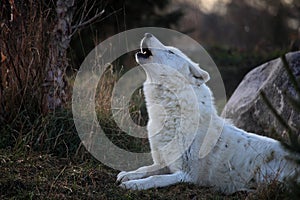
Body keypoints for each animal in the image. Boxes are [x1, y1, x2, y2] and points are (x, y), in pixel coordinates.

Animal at [116, 32, 296, 194]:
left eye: (171, 52)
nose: (147, 33)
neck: (172, 115)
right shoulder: (163, 163)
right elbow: (144, 168)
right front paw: (127, 175)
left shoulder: (185, 174)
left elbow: (155, 178)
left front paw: (133, 185)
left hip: (265, 174)